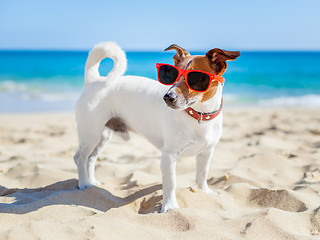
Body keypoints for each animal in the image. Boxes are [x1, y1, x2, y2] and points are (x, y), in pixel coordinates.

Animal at [74, 42, 240, 213]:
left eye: (197, 78)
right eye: (172, 74)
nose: (168, 97)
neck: (198, 116)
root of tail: (95, 81)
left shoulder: (206, 152)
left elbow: (202, 174)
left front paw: (205, 192)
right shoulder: (169, 155)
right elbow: (171, 182)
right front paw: (170, 206)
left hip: (102, 137)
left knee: (90, 158)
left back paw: (92, 182)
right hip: (91, 135)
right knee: (80, 158)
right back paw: (84, 184)